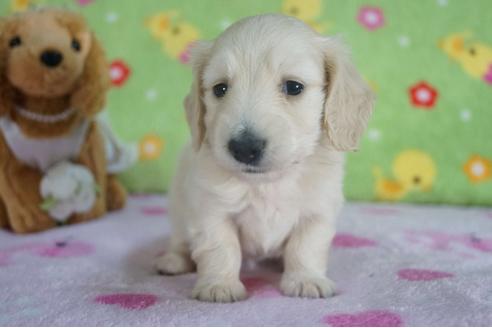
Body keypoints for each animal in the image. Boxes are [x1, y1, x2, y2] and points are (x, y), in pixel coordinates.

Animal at [156, 14, 374, 302]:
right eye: (220, 89)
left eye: (293, 87)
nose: (244, 147)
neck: (269, 183)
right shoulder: (210, 211)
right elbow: (220, 248)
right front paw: (219, 286)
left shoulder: (318, 210)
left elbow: (306, 246)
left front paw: (306, 280)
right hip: (179, 210)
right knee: (180, 241)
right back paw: (173, 261)